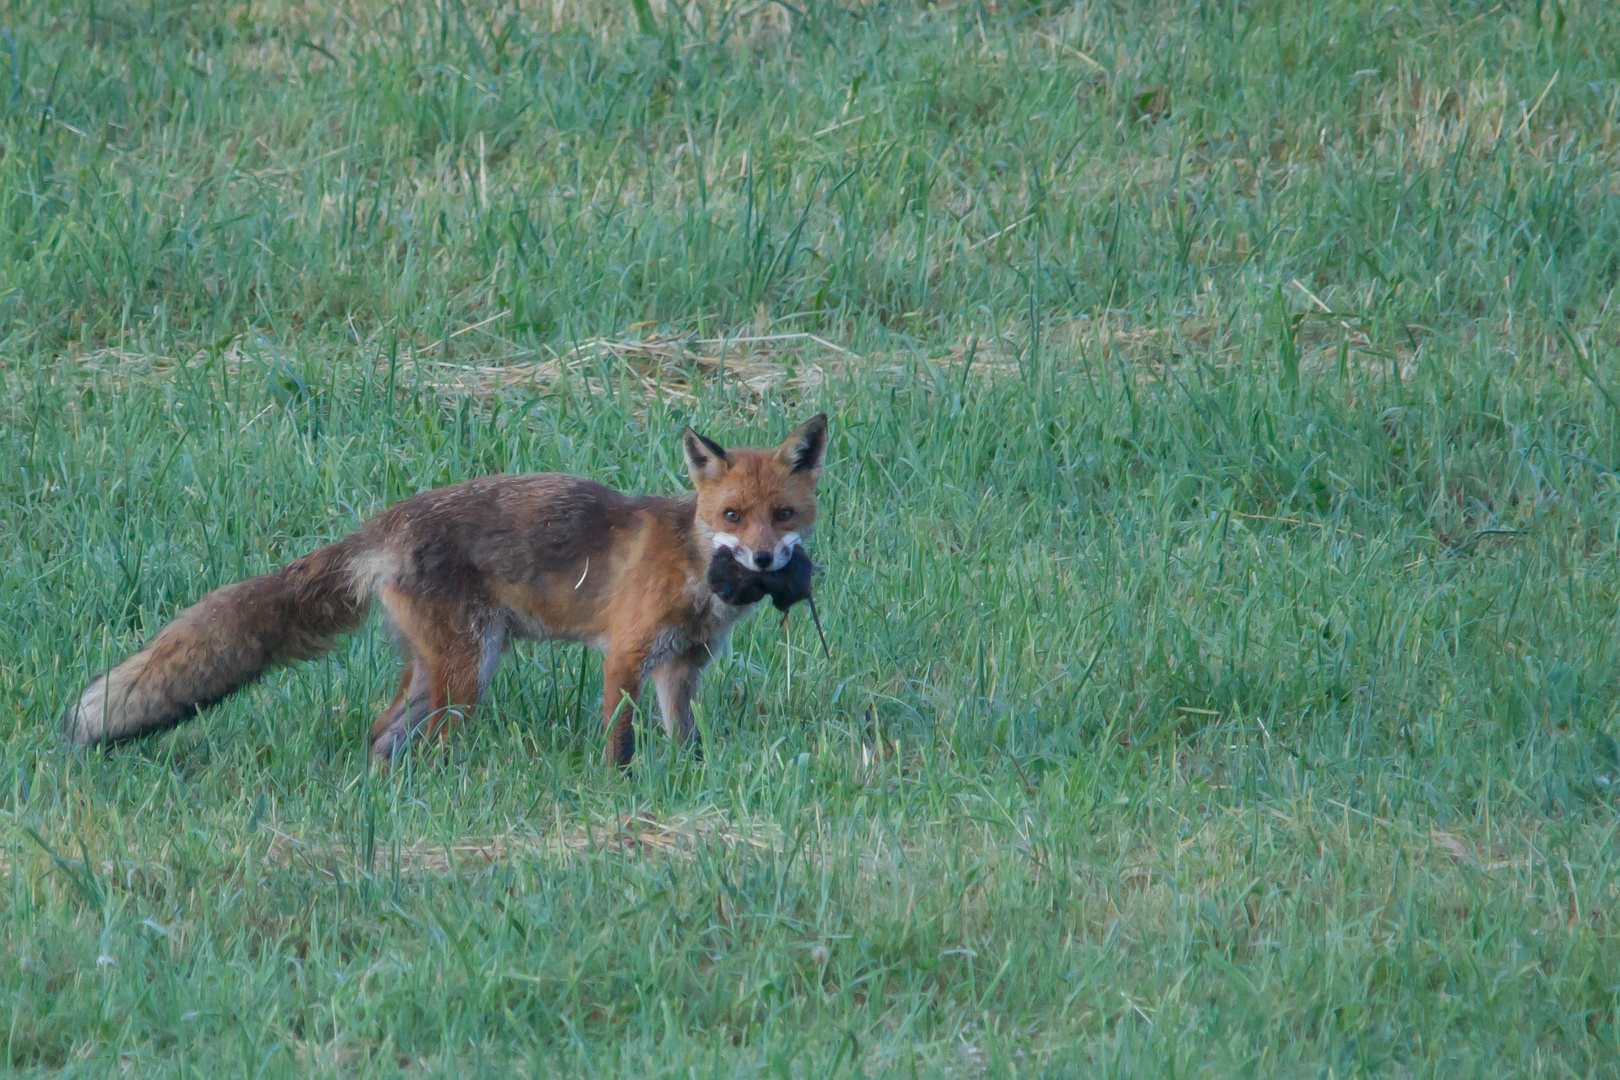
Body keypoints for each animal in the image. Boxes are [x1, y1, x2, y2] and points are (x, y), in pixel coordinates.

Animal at [61, 414, 829, 767]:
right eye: (732, 515)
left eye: (783, 513)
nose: (765, 558)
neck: (697, 569)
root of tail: (385, 523)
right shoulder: (626, 654)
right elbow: (620, 739)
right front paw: (620, 790)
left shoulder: (682, 667)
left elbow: (687, 740)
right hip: (469, 669)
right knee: (427, 745)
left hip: (443, 670)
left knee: (380, 733)